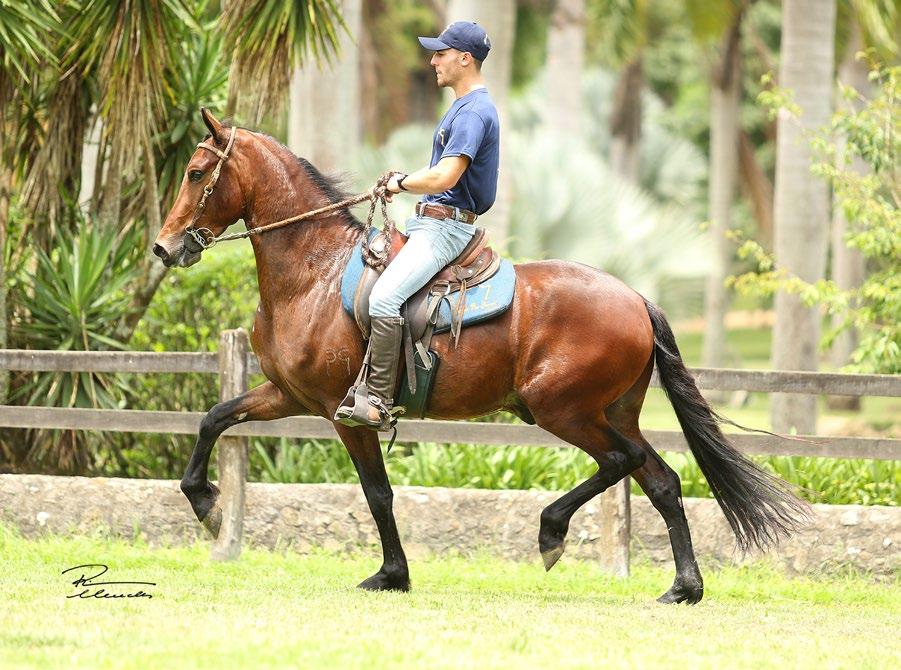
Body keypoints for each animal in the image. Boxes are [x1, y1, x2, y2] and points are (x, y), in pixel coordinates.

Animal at [151, 109, 804, 604]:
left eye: (195, 172)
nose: (163, 247)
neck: (314, 272)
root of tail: (636, 298)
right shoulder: (287, 394)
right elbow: (214, 417)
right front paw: (205, 502)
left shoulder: (346, 413)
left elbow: (378, 494)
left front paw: (392, 575)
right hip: (612, 410)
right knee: (662, 480)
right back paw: (684, 588)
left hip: (560, 410)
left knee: (621, 462)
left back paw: (552, 531)